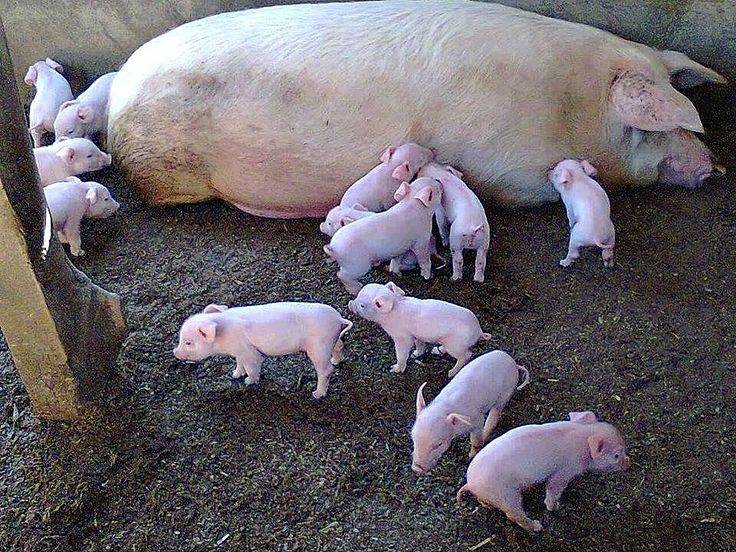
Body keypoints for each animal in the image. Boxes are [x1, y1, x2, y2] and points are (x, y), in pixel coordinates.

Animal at [172, 302, 353, 399]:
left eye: (188, 342)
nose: (175, 351)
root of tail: (338, 318)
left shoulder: (250, 353)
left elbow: (252, 368)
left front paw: (248, 382)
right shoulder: (239, 351)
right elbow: (239, 364)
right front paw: (235, 374)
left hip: (318, 347)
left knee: (326, 370)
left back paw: (316, 394)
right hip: (331, 340)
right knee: (339, 347)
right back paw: (336, 361)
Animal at [348, 282, 492, 376]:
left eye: (362, 305)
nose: (350, 303)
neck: (392, 312)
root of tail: (479, 331)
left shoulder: (402, 337)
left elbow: (402, 352)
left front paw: (394, 369)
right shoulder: (416, 335)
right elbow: (420, 345)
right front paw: (415, 354)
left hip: (455, 345)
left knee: (466, 355)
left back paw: (451, 373)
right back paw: (436, 350)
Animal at [456, 411, 630, 532]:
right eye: (616, 455)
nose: (628, 462)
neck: (582, 436)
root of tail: (470, 484)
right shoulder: (564, 472)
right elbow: (553, 490)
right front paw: (556, 506)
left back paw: (487, 505)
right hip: (507, 496)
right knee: (514, 515)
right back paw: (537, 527)